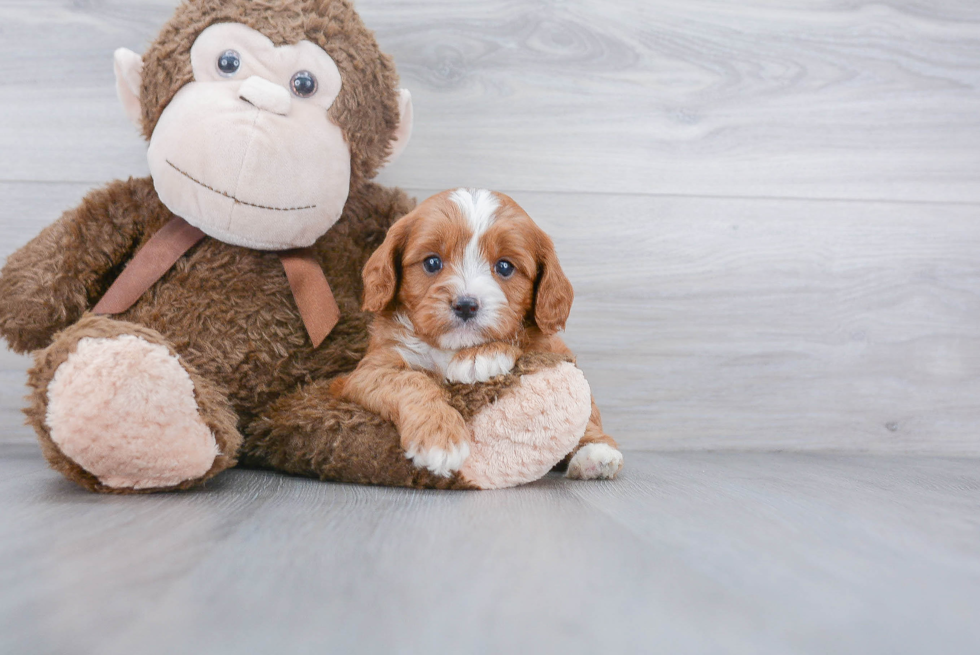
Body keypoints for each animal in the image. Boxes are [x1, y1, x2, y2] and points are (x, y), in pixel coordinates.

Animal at [334, 187, 624, 480]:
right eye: (432, 262)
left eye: (505, 267)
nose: (465, 305)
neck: (451, 348)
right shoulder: (370, 370)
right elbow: (412, 381)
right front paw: (440, 438)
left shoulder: (546, 344)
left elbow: (522, 338)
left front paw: (482, 356)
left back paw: (596, 454)